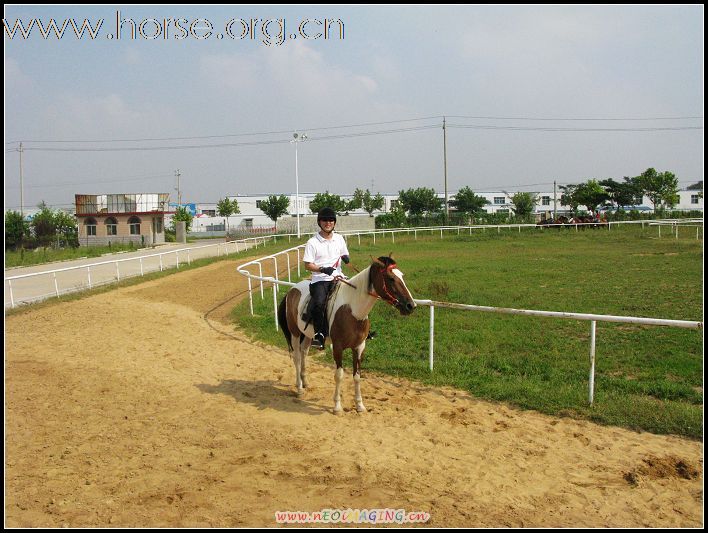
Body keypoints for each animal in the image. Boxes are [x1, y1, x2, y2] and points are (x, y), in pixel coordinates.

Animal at [280, 256, 418, 414]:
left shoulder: (359, 347)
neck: (353, 311)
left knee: (304, 353)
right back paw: (299, 388)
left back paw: (305, 382)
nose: (411, 305)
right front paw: (337, 406)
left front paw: (359, 405)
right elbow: (339, 375)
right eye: (390, 278)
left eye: (401, 275)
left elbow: (357, 376)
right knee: (297, 357)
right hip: (295, 332)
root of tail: (291, 290)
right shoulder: (338, 347)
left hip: (308, 335)